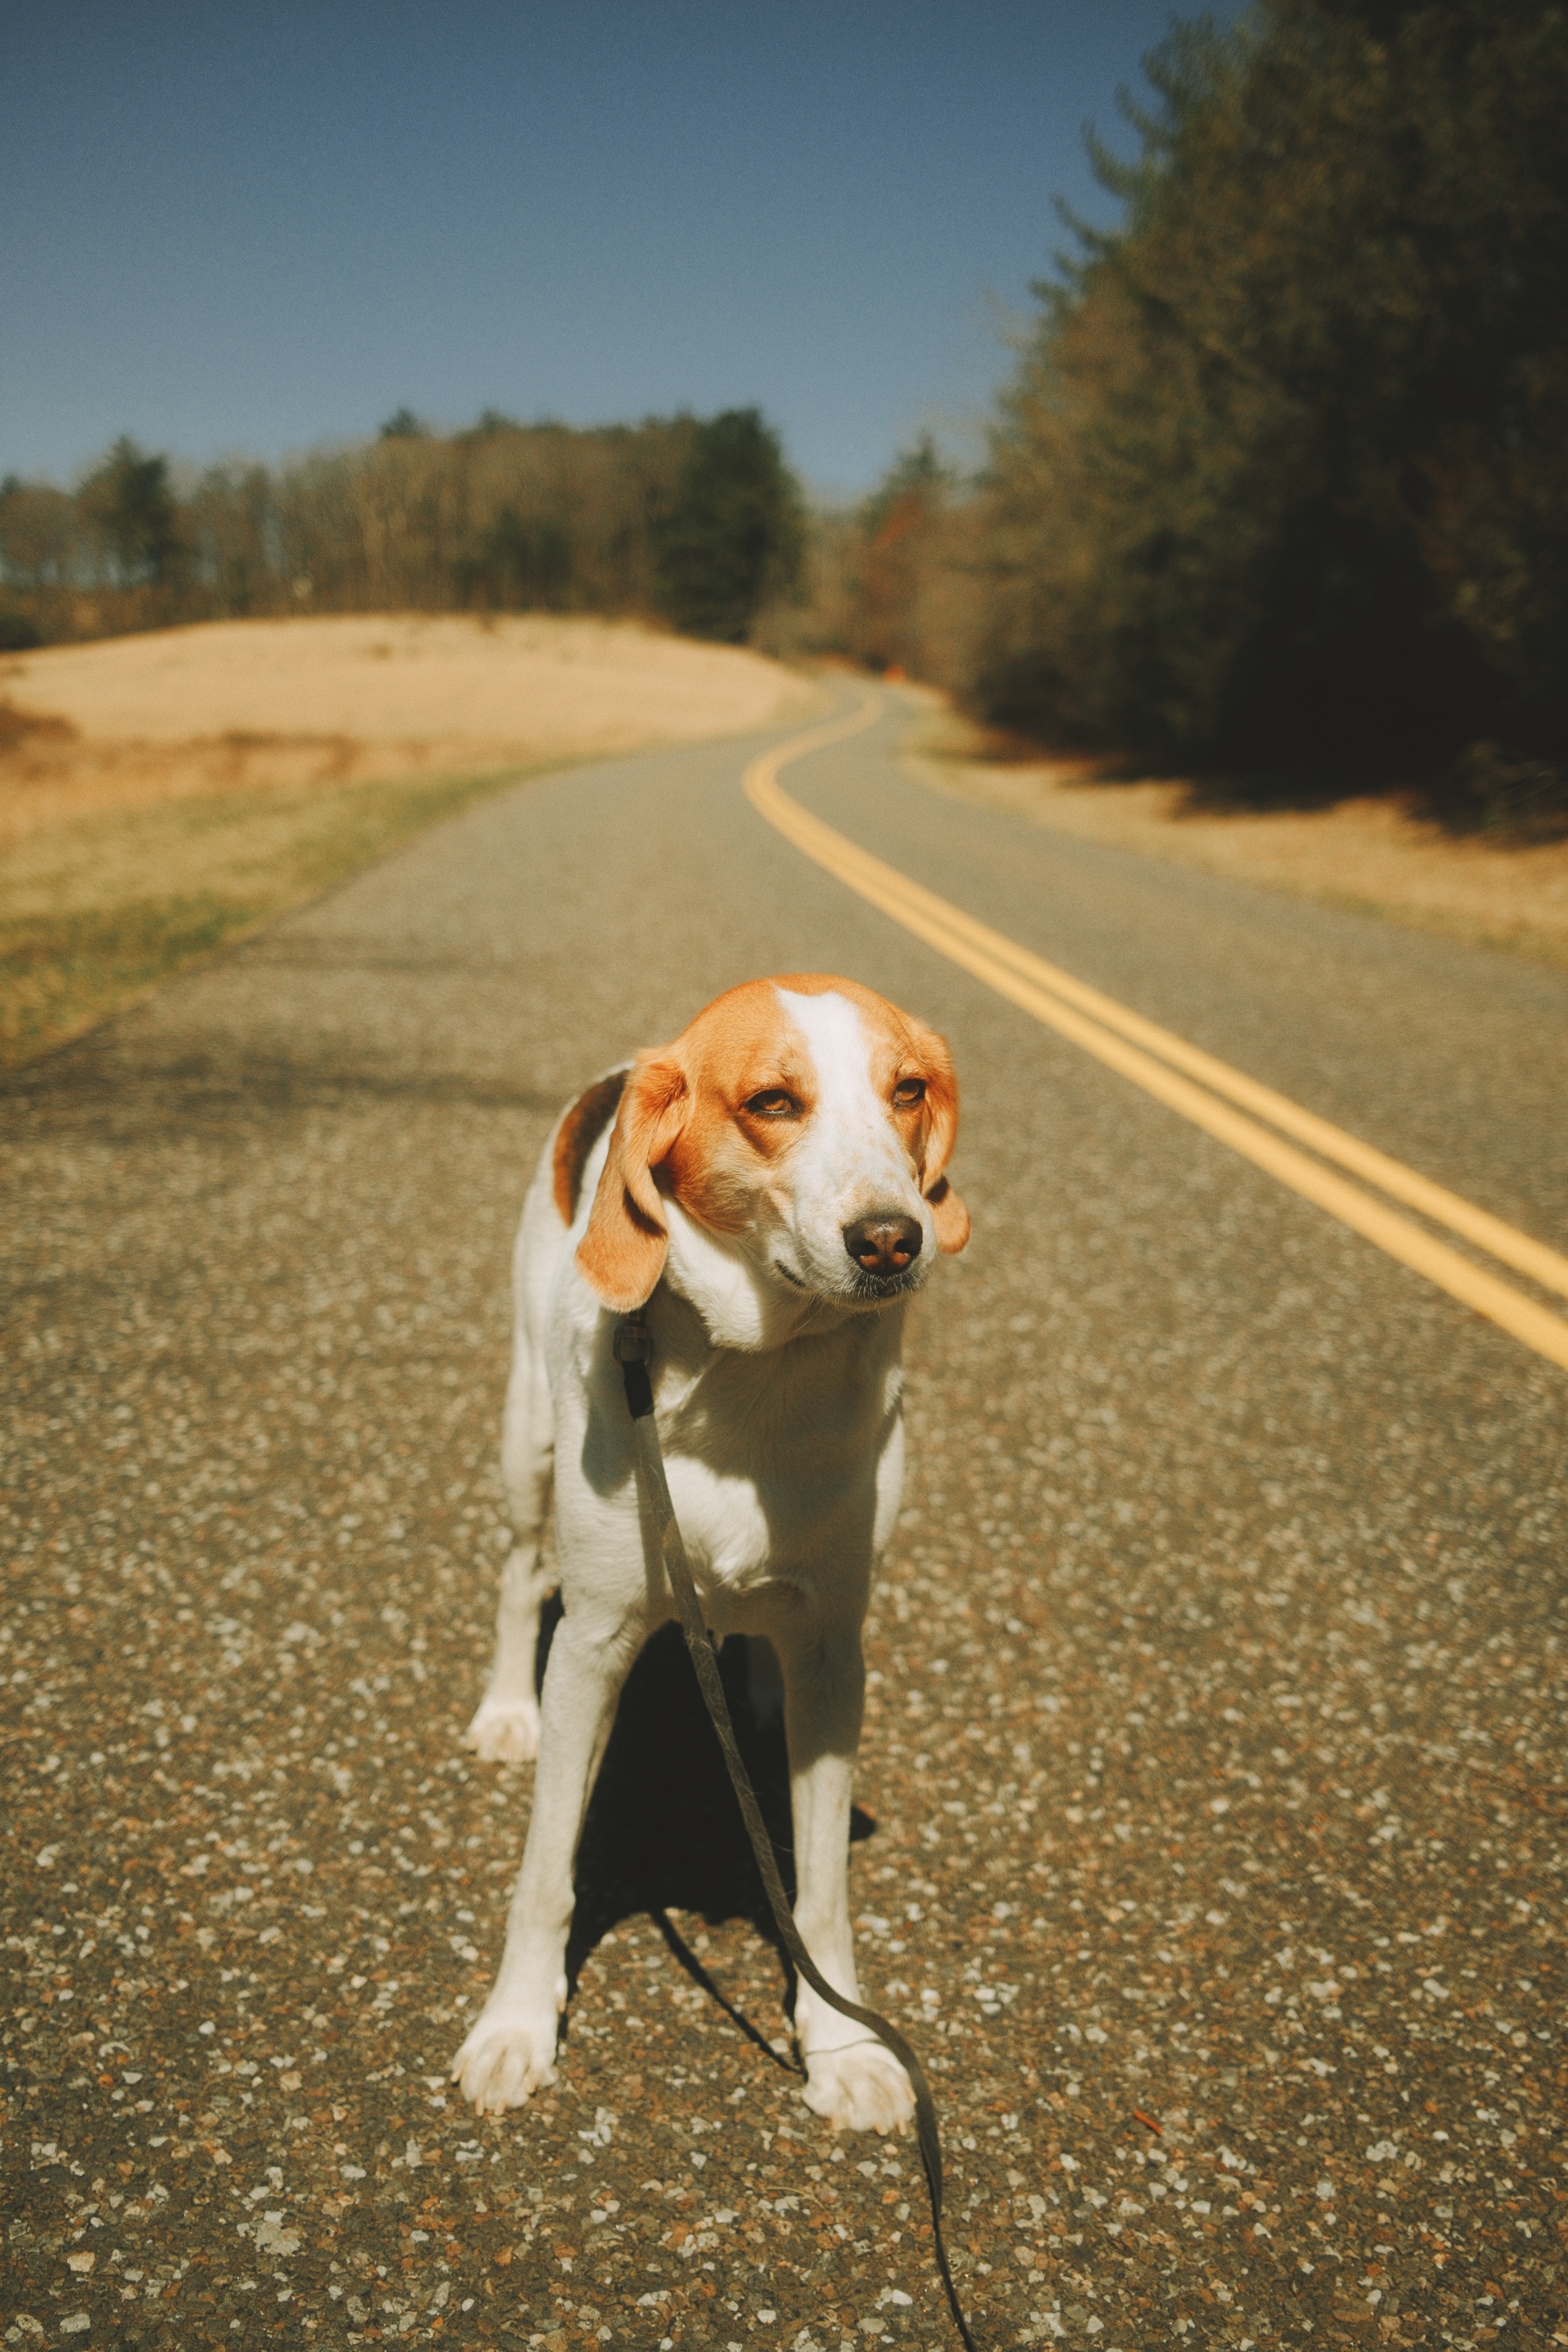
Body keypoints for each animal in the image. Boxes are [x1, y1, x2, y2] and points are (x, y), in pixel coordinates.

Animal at [451, 974, 968, 2133]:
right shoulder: (593, 1644)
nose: (892, 1238)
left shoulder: (835, 1649)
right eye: (774, 1102)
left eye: (908, 1090)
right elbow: (544, 1870)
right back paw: (504, 1709)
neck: (760, 1378)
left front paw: (842, 2047)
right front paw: (516, 2026)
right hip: (525, 1447)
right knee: (516, 1581)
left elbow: (820, 1892)